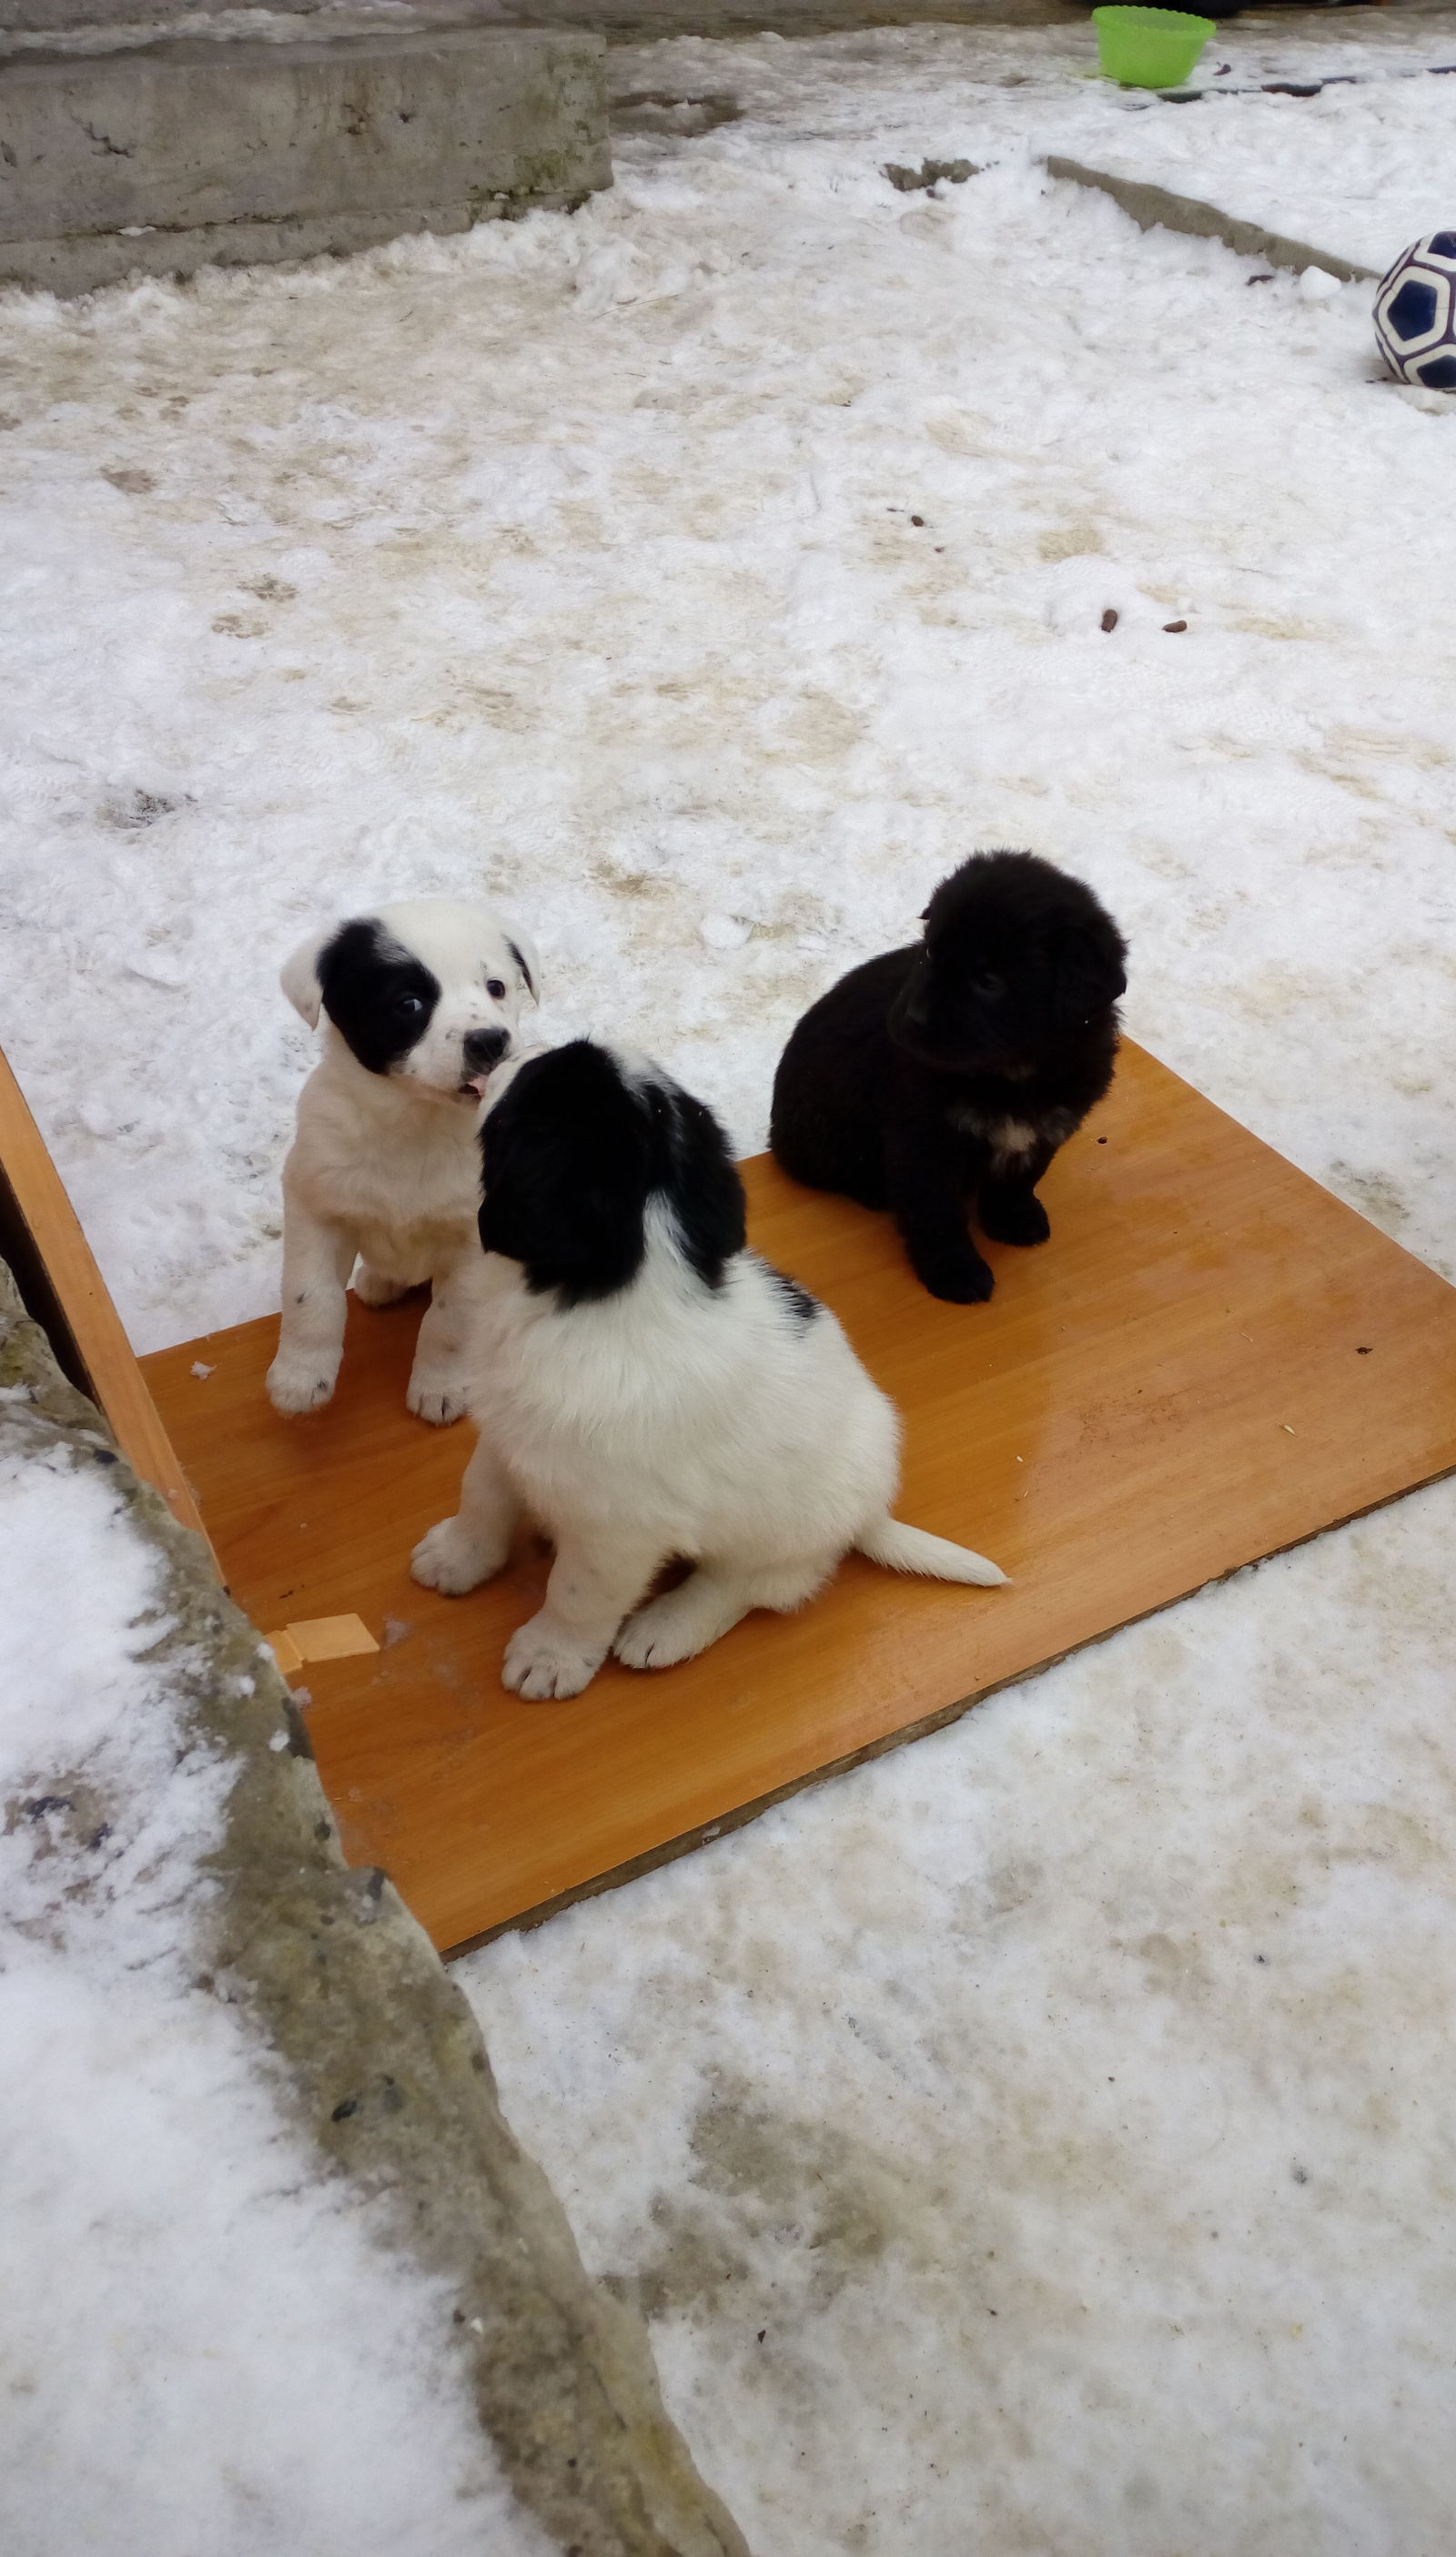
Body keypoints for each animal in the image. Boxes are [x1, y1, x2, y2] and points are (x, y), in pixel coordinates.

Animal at [263, 894, 537, 1421]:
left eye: (495, 987)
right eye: (408, 1004)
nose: (491, 1041)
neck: (417, 1123)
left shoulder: (472, 1240)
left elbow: (449, 1321)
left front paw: (440, 1387)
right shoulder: (313, 1202)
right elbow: (311, 1298)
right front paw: (300, 1378)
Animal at [407, 1037, 997, 1697]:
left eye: (534, 1080)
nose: (507, 1048)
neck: (610, 1293)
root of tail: (869, 1513)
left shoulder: (617, 1531)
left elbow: (578, 1594)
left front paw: (550, 1657)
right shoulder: (509, 1435)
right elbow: (481, 1493)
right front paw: (456, 1557)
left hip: (781, 1532)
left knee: (759, 1582)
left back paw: (665, 1629)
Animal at [773, 854, 1126, 1299]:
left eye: (989, 981)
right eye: (929, 953)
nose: (910, 1018)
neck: (1010, 1074)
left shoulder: (1047, 1128)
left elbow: (1020, 1179)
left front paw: (1014, 1219)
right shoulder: (923, 1140)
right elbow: (936, 1213)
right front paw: (956, 1272)